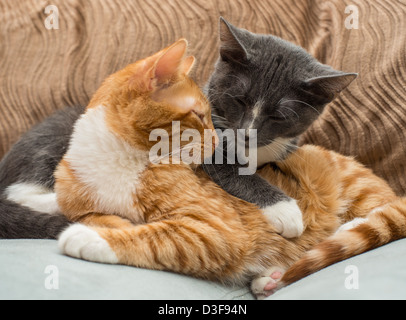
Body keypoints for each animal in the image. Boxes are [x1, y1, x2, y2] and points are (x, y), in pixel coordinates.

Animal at [0, 17, 356, 238]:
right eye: (238, 99)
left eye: (279, 116)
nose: (245, 133)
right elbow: (233, 173)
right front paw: (285, 209)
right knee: (24, 191)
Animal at [54, 38, 406, 298]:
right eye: (199, 115)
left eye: (212, 115)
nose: (218, 141)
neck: (113, 160)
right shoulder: (83, 206)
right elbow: (101, 218)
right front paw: (108, 225)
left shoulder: (213, 231)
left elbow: (153, 239)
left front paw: (91, 239)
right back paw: (270, 279)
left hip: (361, 193)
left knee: (382, 212)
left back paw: (346, 228)